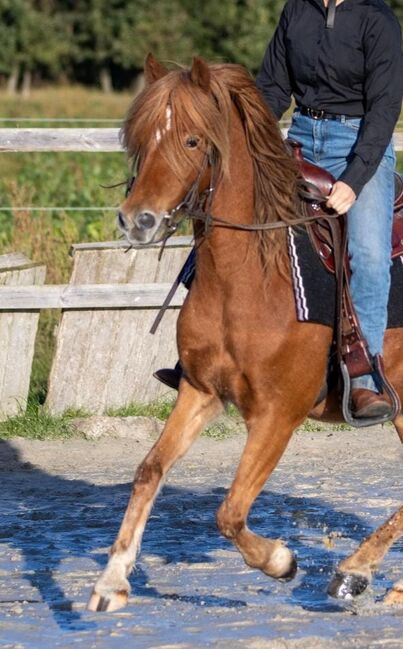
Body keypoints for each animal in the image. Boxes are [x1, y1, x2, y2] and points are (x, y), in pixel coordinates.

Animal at [88, 54, 403, 608]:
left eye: (192, 140)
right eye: (140, 138)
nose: (136, 221)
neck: (250, 275)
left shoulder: (278, 416)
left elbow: (231, 511)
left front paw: (280, 560)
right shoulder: (200, 391)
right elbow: (149, 471)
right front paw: (112, 579)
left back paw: (358, 571)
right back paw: (361, 572)